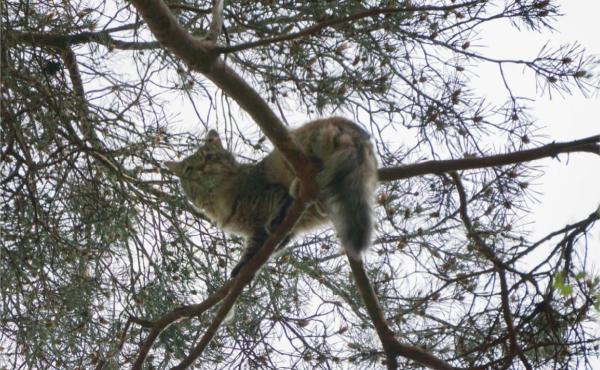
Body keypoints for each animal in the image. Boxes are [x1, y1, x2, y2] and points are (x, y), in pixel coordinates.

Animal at [164, 117, 378, 276]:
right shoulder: (258, 231)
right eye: (189, 169)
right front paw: (245, 267)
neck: (221, 199)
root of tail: (357, 131)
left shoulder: (271, 192)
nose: (201, 168)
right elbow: (258, 249)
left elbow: (282, 204)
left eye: (209, 157)